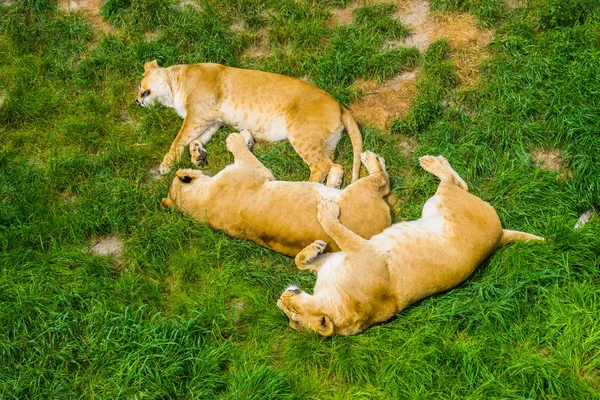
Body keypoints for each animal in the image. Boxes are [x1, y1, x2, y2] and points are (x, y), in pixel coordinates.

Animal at [137, 61, 360, 189]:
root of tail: (340, 105)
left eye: (140, 86)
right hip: (325, 142)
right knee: (334, 165)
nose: (136, 101)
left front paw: (165, 165)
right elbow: (196, 139)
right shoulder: (212, 120)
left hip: (300, 132)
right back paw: (331, 189)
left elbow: (180, 139)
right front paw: (198, 155)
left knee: (321, 166)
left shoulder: (198, 113)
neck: (175, 82)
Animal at [162, 131, 392, 256]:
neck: (198, 204)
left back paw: (338, 174)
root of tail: (381, 231)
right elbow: (241, 151)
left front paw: (242, 137)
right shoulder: (256, 170)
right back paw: (369, 159)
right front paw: (235, 138)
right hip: (359, 190)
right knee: (383, 180)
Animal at [276, 155, 544, 336]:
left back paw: (425, 161)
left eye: (293, 312)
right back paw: (432, 162)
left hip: (440, 202)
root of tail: (500, 236)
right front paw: (316, 243)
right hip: (441, 202)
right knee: (455, 184)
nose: (282, 297)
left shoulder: (357, 250)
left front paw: (317, 234)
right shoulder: (357, 252)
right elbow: (310, 254)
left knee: (455, 182)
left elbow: (325, 238)